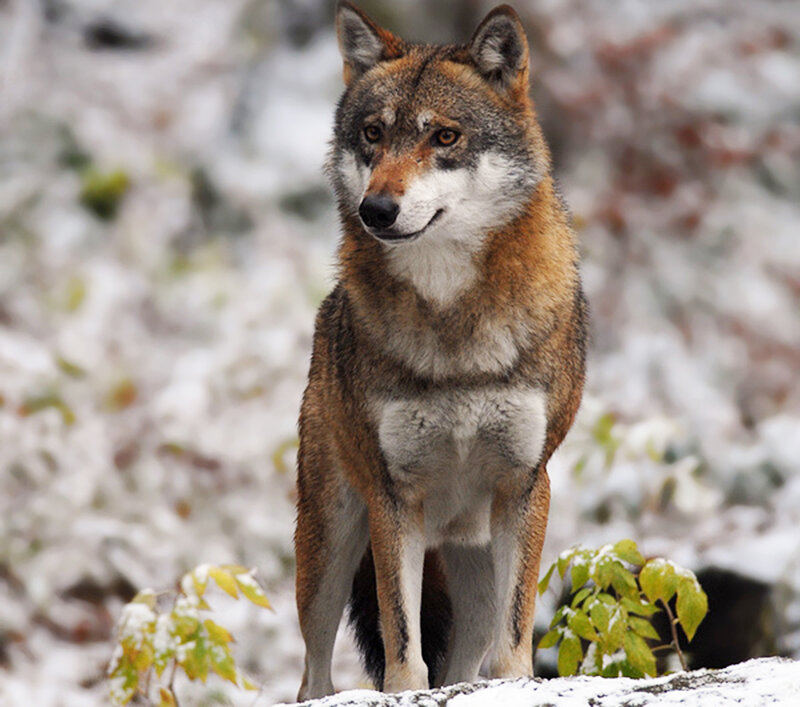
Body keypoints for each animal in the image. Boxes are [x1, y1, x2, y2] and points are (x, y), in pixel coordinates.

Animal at [294, 2, 587, 698]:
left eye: (445, 138)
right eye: (373, 134)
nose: (376, 208)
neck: (454, 326)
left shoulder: (524, 485)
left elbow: (514, 635)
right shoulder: (393, 496)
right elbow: (403, 636)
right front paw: (404, 689)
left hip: (473, 561)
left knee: (466, 657)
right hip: (331, 545)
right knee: (313, 675)